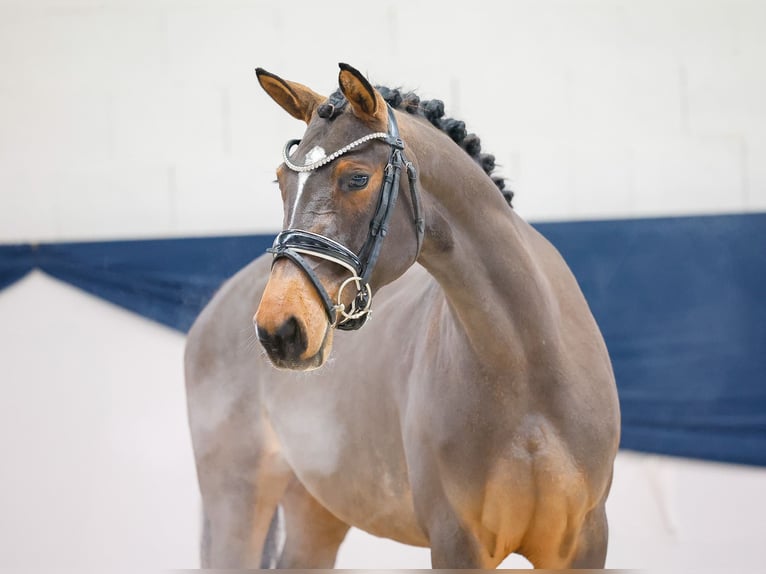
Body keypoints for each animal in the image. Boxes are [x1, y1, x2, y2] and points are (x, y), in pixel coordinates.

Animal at [186, 64, 624, 572]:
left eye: (357, 178)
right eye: (281, 182)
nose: (280, 329)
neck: (526, 364)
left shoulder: (584, 544)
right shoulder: (455, 543)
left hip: (316, 511)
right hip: (236, 503)